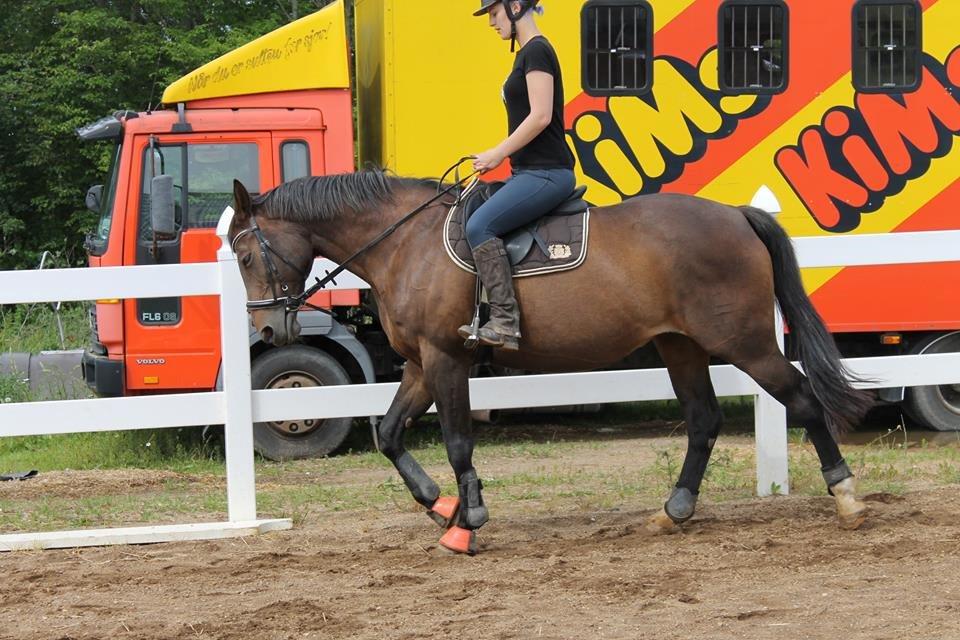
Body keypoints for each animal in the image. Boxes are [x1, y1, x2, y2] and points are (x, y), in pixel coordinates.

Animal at [229, 171, 872, 556]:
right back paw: (674, 511)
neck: (405, 244)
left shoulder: (447, 359)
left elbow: (458, 441)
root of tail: (736, 216)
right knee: (703, 421)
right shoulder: (417, 364)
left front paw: (467, 523)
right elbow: (388, 434)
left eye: (243, 253)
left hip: (746, 343)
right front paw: (442, 504)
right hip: (681, 346)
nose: (268, 329)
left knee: (803, 400)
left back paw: (847, 500)